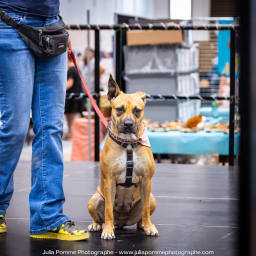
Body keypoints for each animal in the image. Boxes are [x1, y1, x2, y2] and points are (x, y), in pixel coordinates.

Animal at [89, 75, 159, 239]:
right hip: (94, 199)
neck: (128, 144)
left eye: (137, 111)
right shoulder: (110, 180)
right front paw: (108, 231)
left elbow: (145, 209)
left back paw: (143, 226)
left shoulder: (146, 180)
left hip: (152, 199)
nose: (128, 124)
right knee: (100, 217)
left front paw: (149, 227)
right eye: (119, 109)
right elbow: (108, 210)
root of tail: (121, 222)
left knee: (142, 214)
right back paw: (97, 225)